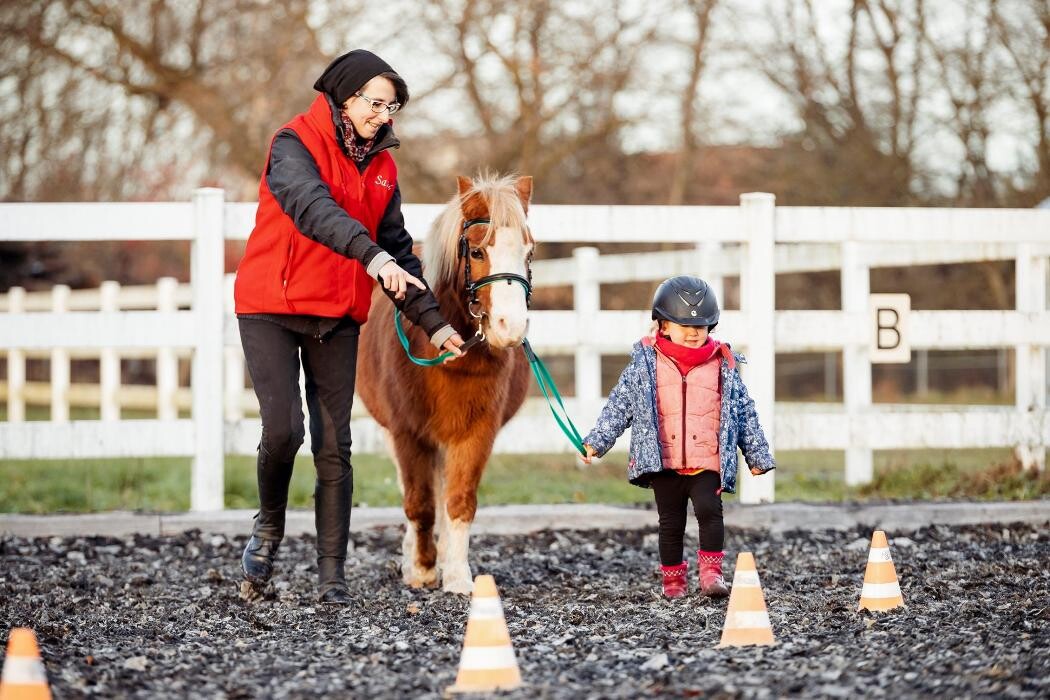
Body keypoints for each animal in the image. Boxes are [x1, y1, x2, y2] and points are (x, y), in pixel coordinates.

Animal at [356, 172, 533, 596]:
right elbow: (419, 503)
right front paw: (422, 569)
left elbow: (459, 501)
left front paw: (456, 576)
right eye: (478, 252)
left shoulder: (476, 434)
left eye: (529, 252)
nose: (511, 328)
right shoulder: (407, 432)